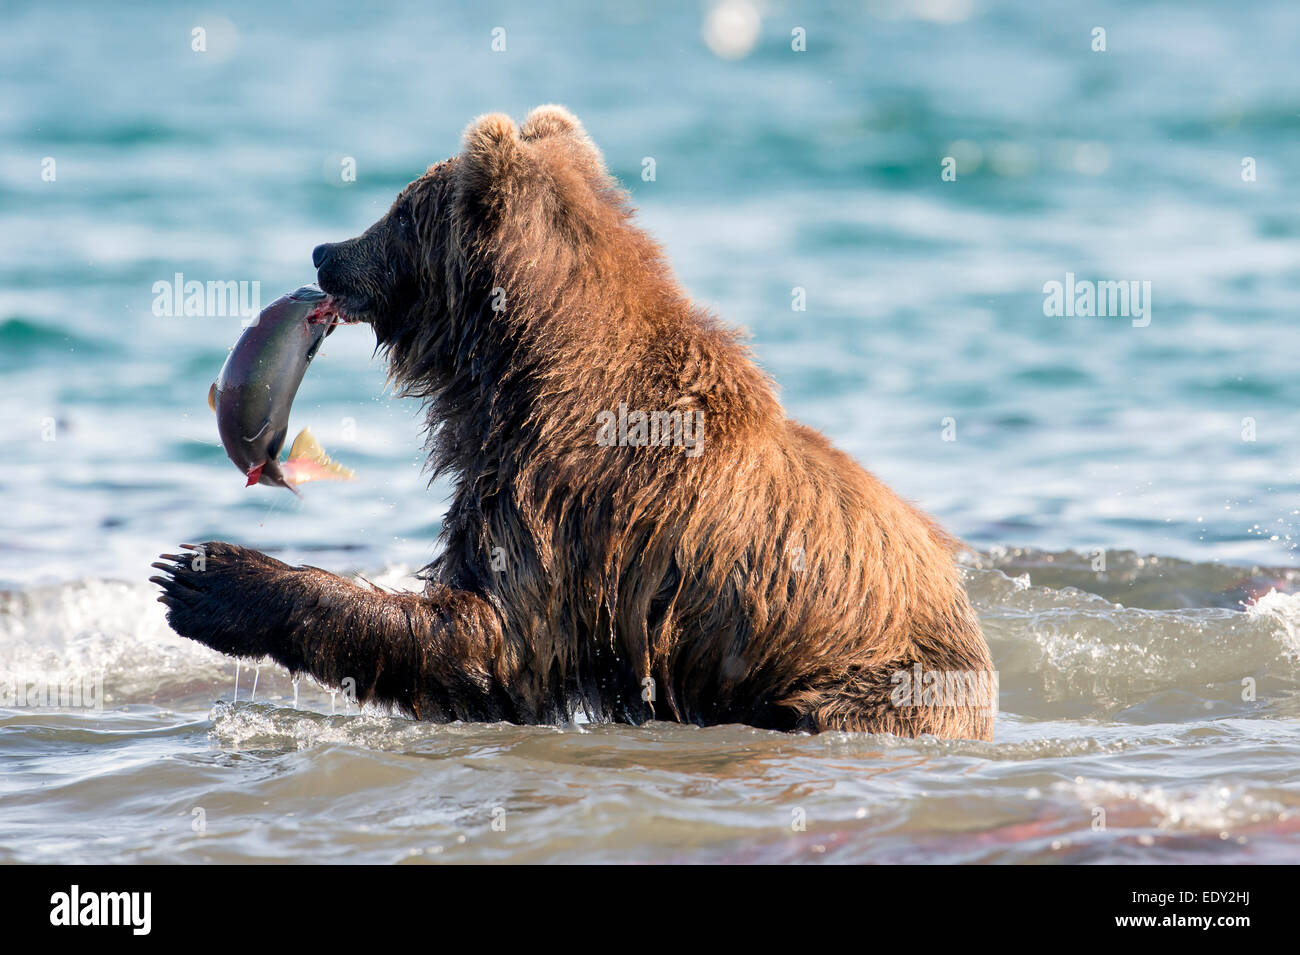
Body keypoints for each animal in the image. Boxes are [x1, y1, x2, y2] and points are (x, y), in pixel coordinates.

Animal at [159, 108, 993, 743]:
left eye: (398, 210)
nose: (325, 250)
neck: (517, 372)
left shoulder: (567, 497)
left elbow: (490, 638)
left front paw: (207, 575)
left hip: (871, 684)